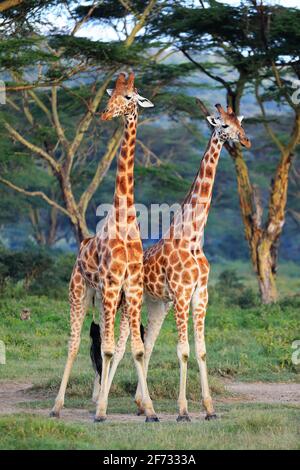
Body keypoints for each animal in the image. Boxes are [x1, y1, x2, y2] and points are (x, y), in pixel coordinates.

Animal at [50, 71, 159, 424]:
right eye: (112, 94)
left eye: (129, 97)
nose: (105, 113)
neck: (124, 220)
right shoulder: (111, 286)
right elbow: (108, 348)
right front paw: (100, 412)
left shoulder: (131, 289)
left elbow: (135, 349)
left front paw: (150, 411)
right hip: (81, 292)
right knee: (74, 343)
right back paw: (58, 407)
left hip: (108, 301)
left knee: (104, 345)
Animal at [95, 103, 251, 422]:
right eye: (224, 126)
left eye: (240, 124)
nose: (245, 141)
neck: (192, 237)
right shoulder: (181, 293)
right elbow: (183, 350)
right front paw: (183, 411)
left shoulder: (200, 294)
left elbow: (201, 350)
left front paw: (209, 409)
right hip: (128, 301)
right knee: (120, 346)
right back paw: (103, 404)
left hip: (157, 304)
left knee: (147, 345)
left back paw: (141, 404)